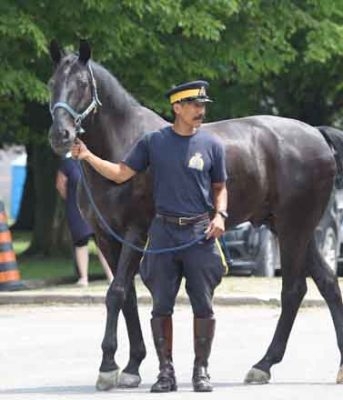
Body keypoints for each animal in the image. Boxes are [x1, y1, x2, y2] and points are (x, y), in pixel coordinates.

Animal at [49, 40, 343, 388]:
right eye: (52, 83)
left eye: (82, 83)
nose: (61, 136)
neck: (121, 151)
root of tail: (317, 135)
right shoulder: (107, 237)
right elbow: (128, 297)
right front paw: (132, 365)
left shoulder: (136, 231)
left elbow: (116, 292)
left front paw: (108, 366)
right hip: (291, 228)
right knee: (328, 283)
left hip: (293, 228)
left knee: (294, 290)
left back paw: (264, 364)